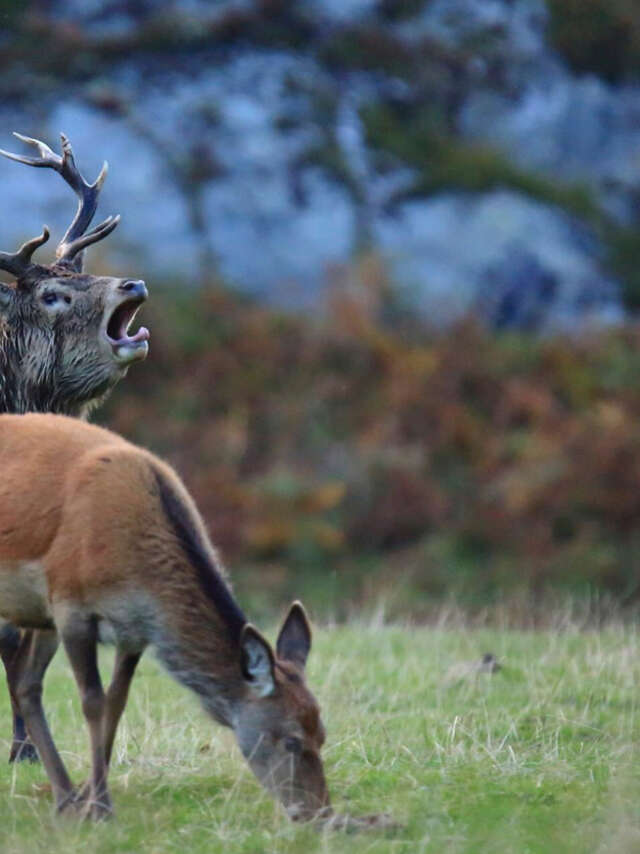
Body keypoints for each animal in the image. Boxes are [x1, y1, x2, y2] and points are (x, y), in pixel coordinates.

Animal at [0, 412, 333, 824]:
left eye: (323, 734)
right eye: (290, 740)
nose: (319, 811)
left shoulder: (133, 630)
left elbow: (116, 702)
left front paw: (91, 796)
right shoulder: (70, 604)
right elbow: (92, 702)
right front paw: (101, 808)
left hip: (39, 616)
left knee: (26, 682)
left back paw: (64, 796)